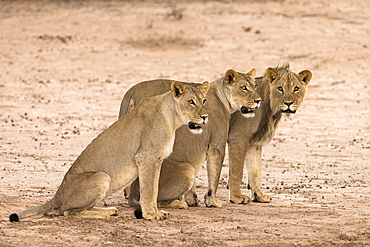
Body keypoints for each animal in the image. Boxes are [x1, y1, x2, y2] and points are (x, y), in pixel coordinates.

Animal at [8, 81, 210, 222]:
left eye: (204, 100)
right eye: (191, 102)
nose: (205, 117)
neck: (172, 116)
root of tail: (57, 197)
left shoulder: (157, 160)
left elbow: (152, 189)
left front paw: (155, 211)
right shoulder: (146, 158)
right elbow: (149, 190)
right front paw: (152, 215)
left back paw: (109, 210)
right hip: (101, 176)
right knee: (68, 212)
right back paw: (102, 215)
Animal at [118, 68, 260, 209]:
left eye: (255, 86)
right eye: (244, 88)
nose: (259, 100)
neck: (222, 98)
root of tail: (131, 92)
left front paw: (193, 200)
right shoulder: (216, 146)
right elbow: (215, 176)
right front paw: (214, 201)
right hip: (186, 168)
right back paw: (178, 203)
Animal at [228, 64, 312, 204]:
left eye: (296, 88)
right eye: (280, 88)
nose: (288, 103)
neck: (272, 111)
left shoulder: (254, 143)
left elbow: (256, 171)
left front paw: (259, 196)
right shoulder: (238, 137)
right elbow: (236, 170)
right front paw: (236, 197)